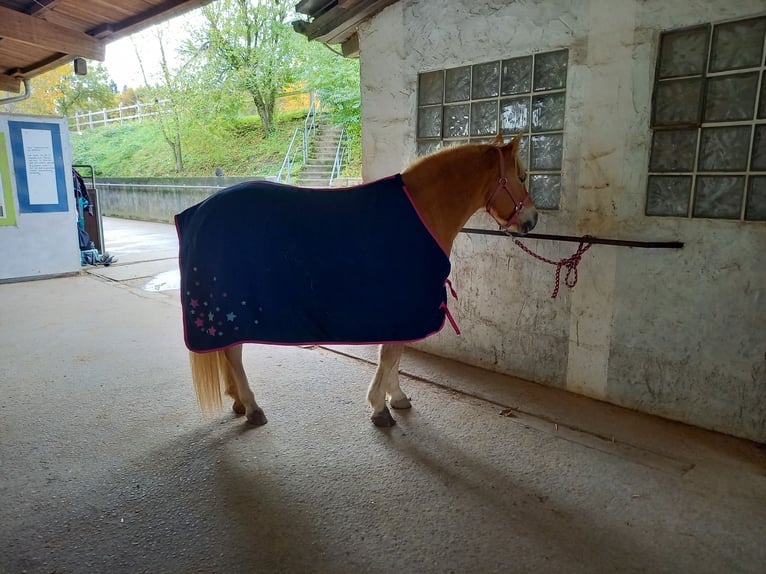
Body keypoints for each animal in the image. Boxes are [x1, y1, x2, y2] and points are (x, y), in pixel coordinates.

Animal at [176, 134, 536, 428]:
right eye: (521, 176)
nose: (532, 220)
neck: (422, 212)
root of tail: (200, 210)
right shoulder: (402, 306)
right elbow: (390, 355)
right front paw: (380, 407)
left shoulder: (403, 312)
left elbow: (395, 355)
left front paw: (396, 397)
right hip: (232, 310)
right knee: (234, 354)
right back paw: (252, 408)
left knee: (227, 353)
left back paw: (238, 401)